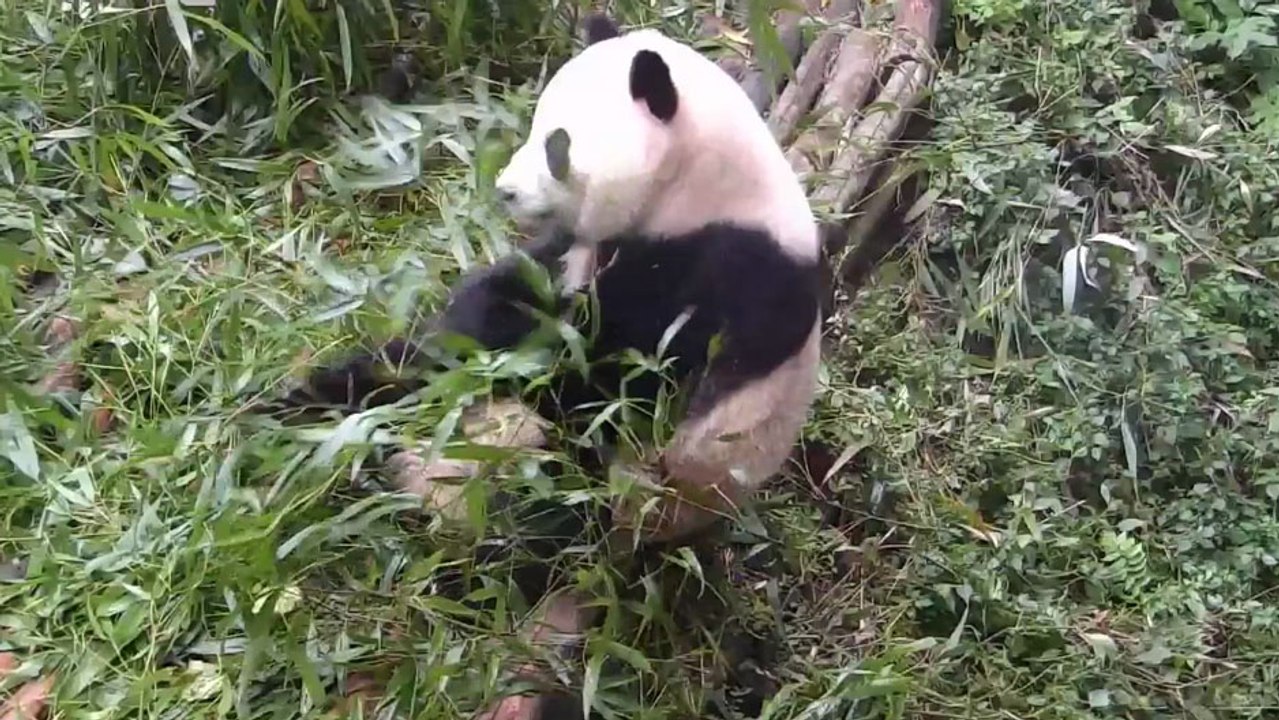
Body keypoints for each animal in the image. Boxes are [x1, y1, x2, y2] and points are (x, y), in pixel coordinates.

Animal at [277, 12, 822, 720]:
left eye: (556, 144)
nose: (504, 190)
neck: (702, 187)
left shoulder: (722, 272)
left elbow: (621, 384)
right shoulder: (584, 255)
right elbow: (498, 311)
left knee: (551, 508)